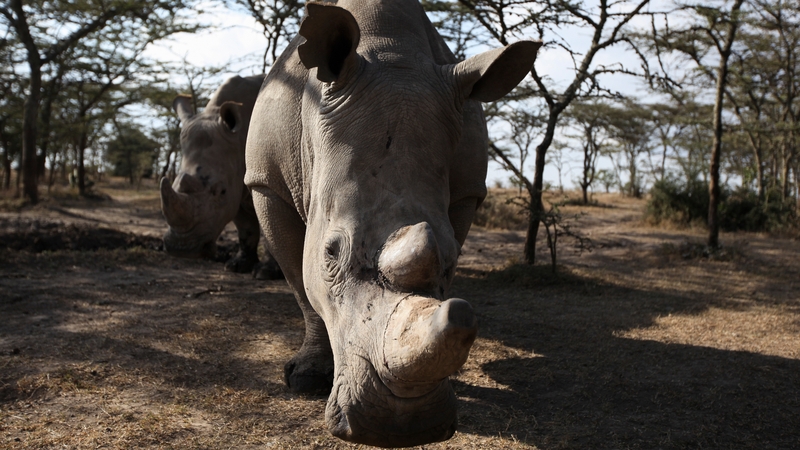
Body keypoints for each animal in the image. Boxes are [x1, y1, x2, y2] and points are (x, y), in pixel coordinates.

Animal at [160, 74, 281, 279]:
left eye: (221, 191)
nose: (181, 248)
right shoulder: (236, 186)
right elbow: (246, 228)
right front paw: (237, 266)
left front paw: (265, 273)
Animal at [245, 0, 540, 446]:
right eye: (331, 252)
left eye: (454, 257)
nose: (399, 428)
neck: (389, 51)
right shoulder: (266, 182)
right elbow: (301, 284)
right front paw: (307, 379)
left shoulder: (468, 191)